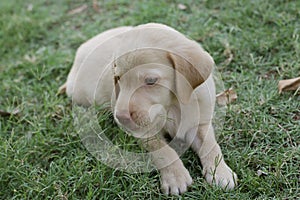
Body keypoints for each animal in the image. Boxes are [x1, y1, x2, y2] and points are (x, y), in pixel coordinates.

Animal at [59, 22, 238, 195]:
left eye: (151, 81)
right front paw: (175, 177)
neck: (171, 106)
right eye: (118, 78)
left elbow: (210, 145)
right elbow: (162, 150)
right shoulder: (143, 132)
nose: (120, 117)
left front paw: (220, 172)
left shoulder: (198, 122)